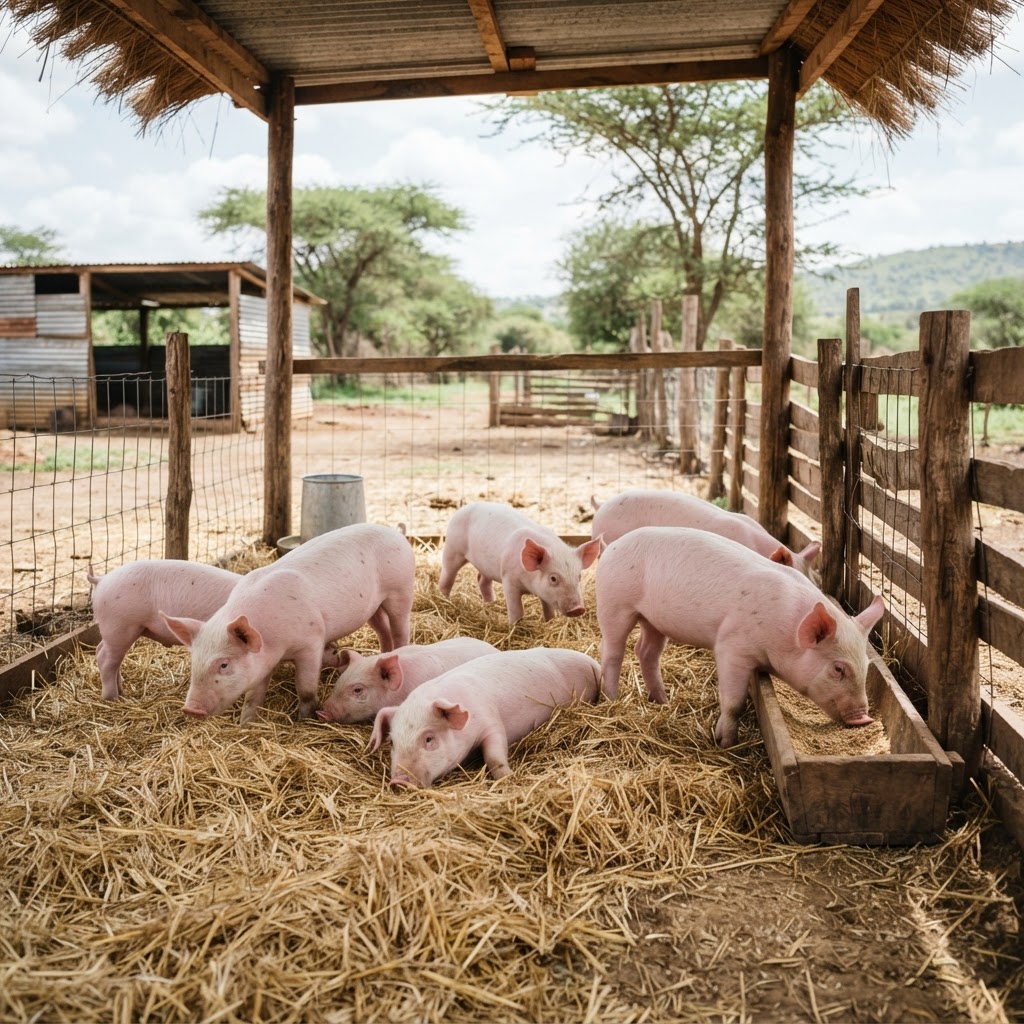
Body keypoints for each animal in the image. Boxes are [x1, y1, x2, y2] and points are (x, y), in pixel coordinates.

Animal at [88, 560, 240, 701]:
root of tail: (101, 580)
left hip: (116, 631)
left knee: (105, 653)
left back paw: (121, 690)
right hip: (120, 626)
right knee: (106, 659)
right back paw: (112, 698)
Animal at [163, 523, 415, 723]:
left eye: (224, 665)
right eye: (194, 661)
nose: (190, 708)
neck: (274, 643)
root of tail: (395, 532)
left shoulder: (311, 643)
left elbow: (305, 688)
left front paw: (302, 719)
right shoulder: (263, 662)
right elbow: (253, 696)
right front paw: (246, 724)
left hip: (401, 590)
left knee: (400, 628)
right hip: (373, 607)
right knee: (383, 630)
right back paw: (384, 653)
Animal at [369, 647, 601, 788]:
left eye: (429, 739)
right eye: (393, 743)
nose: (399, 781)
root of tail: (592, 661)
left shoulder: (492, 722)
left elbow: (494, 756)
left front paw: (507, 777)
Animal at [438, 501, 604, 624]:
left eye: (579, 577)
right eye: (553, 578)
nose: (578, 609)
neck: (529, 585)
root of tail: (464, 507)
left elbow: (548, 608)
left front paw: (549, 622)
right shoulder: (508, 578)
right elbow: (516, 609)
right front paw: (514, 626)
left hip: (488, 565)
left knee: (482, 580)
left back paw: (491, 603)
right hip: (452, 548)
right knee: (447, 575)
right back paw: (444, 599)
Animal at [595, 527, 884, 748]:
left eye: (866, 666)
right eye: (838, 669)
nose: (864, 718)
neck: (786, 631)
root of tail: (611, 546)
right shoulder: (732, 647)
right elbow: (734, 703)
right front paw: (725, 743)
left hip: (654, 620)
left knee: (646, 651)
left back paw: (663, 701)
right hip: (614, 604)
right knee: (611, 652)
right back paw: (611, 698)